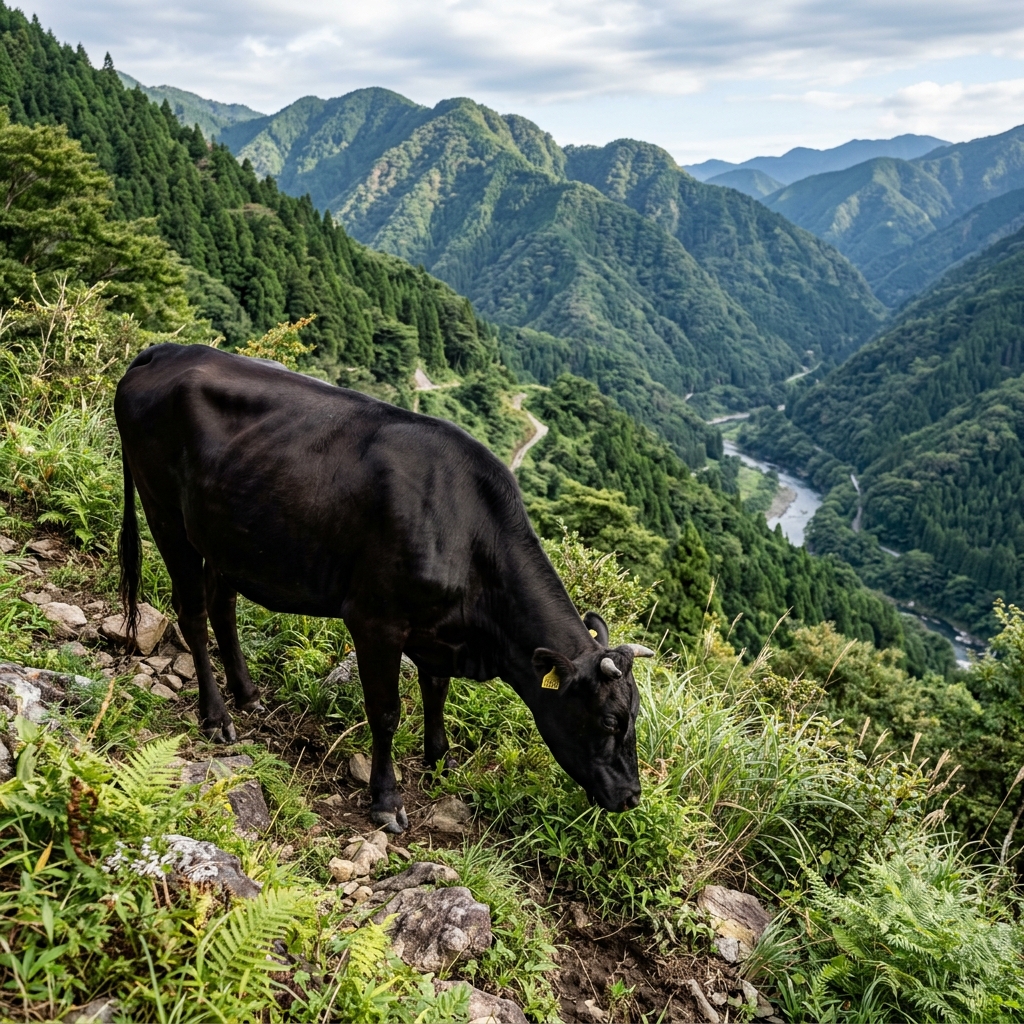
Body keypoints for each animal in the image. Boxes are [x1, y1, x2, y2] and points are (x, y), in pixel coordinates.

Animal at [114, 343, 647, 832]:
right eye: (608, 721)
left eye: (636, 716)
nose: (630, 797)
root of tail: (166, 351)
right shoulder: (376, 620)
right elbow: (387, 711)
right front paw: (387, 800)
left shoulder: (438, 632)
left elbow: (437, 691)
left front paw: (440, 762)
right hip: (165, 512)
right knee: (193, 612)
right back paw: (217, 716)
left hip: (226, 534)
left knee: (222, 605)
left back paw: (247, 696)